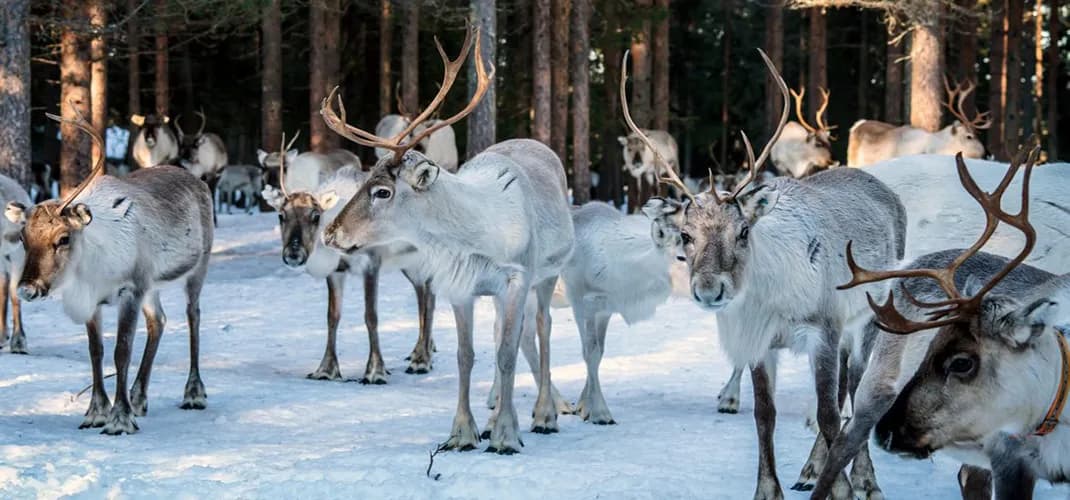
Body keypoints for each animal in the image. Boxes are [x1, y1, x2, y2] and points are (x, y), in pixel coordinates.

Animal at [8, 109, 213, 435]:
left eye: (63, 238)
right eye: (24, 238)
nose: (27, 289)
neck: (91, 267)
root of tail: (198, 181)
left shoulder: (130, 290)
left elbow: (122, 350)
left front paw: (120, 419)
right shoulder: (96, 299)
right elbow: (96, 350)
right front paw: (96, 412)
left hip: (197, 269)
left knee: (193, 315)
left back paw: (193, 394)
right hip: (151, 286)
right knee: (158, 321)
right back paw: (139, 397)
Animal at [261, 133, 437, 381]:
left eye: (316, 216)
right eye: (281, 215)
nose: (293, 254)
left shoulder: (371, 264)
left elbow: (371, 316)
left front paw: (375, 371)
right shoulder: (336, 271)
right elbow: (332, 317)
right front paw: (326, 369)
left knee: (429, 298)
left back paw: (422, 359)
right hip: (409, 264)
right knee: (423, 294)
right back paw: (421, 351)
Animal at [320, 25, 574, 454]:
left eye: (383, 191)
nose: (330, 231)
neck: (476, 235)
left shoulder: (517, 278)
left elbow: (506, 354)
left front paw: (506, 436)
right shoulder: (461, 287)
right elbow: (465, 356)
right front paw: (463, 432)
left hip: (548, 273)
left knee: (542, 327)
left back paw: (544, 415)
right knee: (509, 332)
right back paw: (498, 415)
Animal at [642, 48, 906, 500]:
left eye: (744, 231)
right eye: (685, 235)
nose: (709, 290)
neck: (772, 299)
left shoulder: (824, 328)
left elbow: (829, 415)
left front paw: (844, 488)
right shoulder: (760, 342)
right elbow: (765, 414)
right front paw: (769, 489)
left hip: (868, 318)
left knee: (855, 391)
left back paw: (866, 479)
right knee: (841, 393)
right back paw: (811, 468)